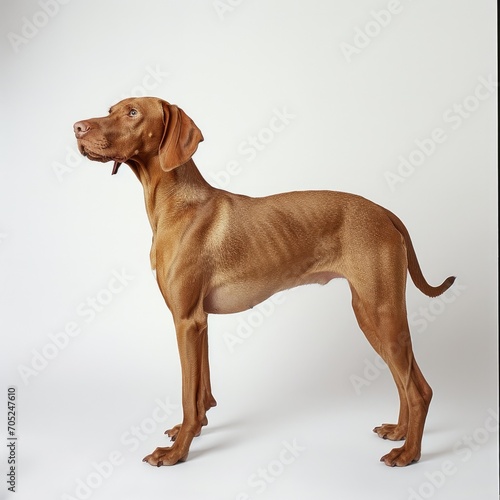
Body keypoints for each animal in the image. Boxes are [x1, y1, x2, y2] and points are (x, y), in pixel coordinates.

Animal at [73, 96, 454, 468]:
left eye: (132, 112)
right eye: (110, 110)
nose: (76, 127)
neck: (175, 205)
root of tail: (384, 212)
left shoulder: (186, 320)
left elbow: (187, 395)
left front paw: (177, 453)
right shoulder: (200, 322)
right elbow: (201, 393)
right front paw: (191, 431)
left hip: (382, 311)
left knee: (418, 390)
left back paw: (409, 453)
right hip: (369, 314)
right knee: (404, 380)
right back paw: (400, 432)